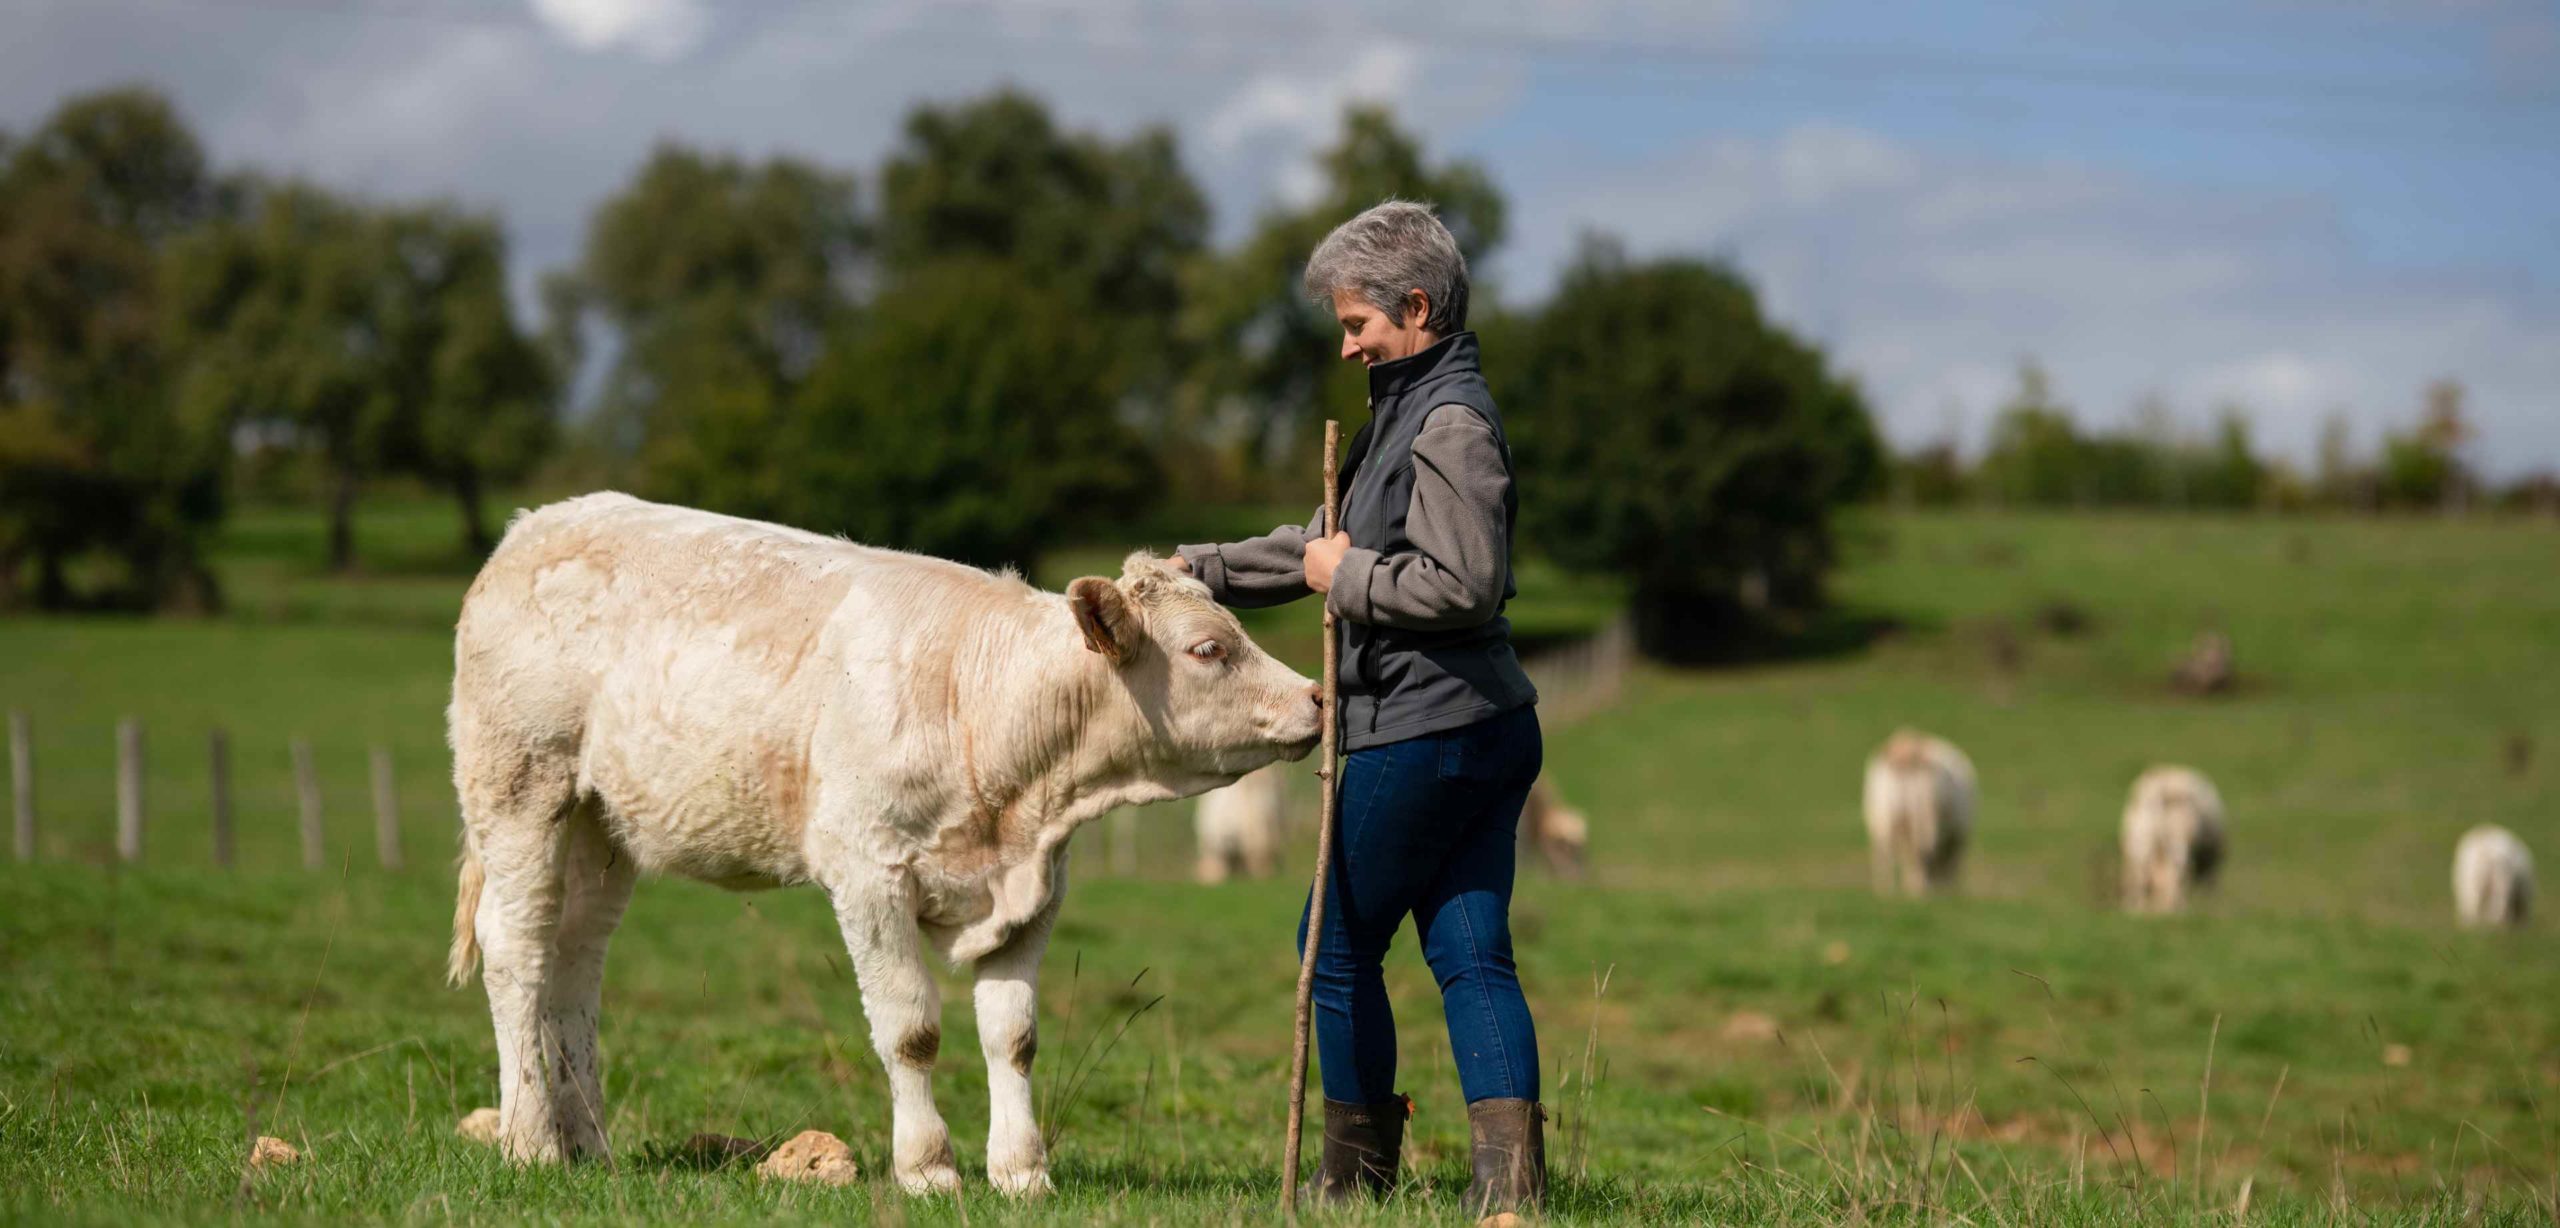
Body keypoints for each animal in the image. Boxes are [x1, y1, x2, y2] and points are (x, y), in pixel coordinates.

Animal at [445, 493, 1320, 1192]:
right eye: (1209, 649)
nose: (1316, 696)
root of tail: (537, 524)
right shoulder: (869, 875)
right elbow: (912, 1030)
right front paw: (928, 1169)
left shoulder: (1035, 892)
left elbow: (1014, 1037)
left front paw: (1022, 1173)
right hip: (520, 789)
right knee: (518, 951)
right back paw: (532, 1142)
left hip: (601, 829)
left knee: (574, 963)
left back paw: (589, 1143)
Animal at [1863, 726, 1976, 890]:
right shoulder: (1956, 836)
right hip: (1922, 825)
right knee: (1918, 856)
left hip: (1884, 822)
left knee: (1887, 858)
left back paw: (1887, 889)